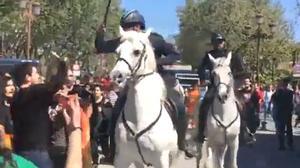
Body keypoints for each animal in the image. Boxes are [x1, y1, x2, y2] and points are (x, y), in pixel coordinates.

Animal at [110, 27, 178, 168]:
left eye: (137, 52)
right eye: (117, 52)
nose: (115, 76)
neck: (139, 119)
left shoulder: (161, 160)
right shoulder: (122, 159)